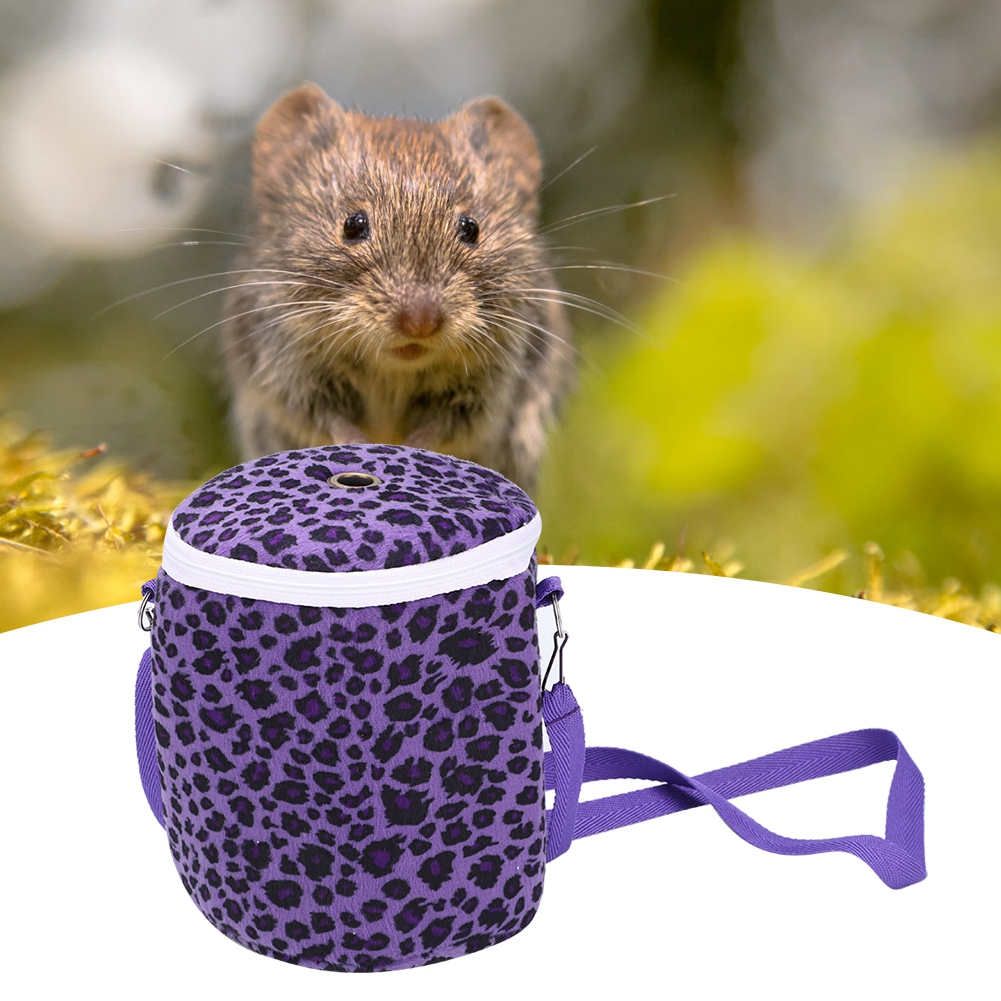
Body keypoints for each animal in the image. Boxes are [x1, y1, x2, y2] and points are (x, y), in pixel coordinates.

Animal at [220, 83, 574, 491]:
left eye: (471, 228)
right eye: (353, 224)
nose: (420, 323)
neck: (394, 367)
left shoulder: (489, 388)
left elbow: (443, 427)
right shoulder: (287, 368)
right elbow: (326, 419)